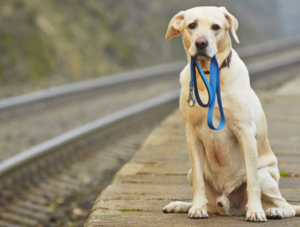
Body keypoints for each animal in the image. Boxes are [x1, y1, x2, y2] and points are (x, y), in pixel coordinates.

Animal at [162, 6, 300, 222]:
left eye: (216, 27)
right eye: (192, 25)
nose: (201, 43)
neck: (209, 77)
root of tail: (228, 206)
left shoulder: (245, 131)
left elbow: (252, 180)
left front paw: (255, 211)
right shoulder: (192, 134)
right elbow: (199, 184)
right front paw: (197, 208)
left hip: (266, 176)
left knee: (286, 205)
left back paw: (273, 211)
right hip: (191, 173)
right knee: (205, 195)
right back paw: (183, 205)